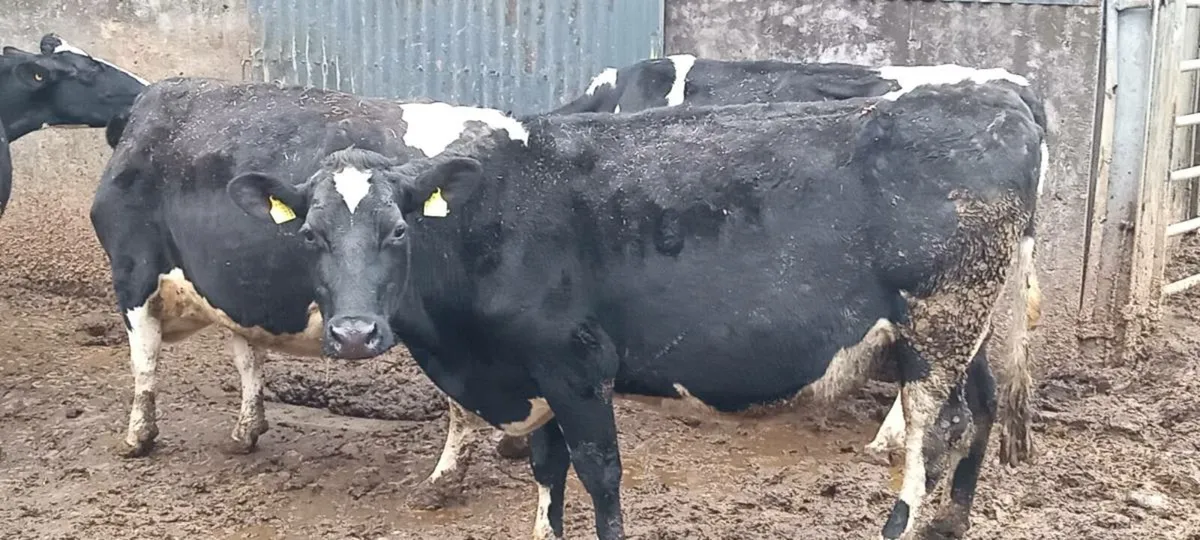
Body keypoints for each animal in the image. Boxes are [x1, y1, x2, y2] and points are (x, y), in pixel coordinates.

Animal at [90, 78, 532, 510]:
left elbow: (144, 361)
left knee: (462, 407)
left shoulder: (133, 273)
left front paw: (138, 437)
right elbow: (247, 357)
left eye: (397, 230)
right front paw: (246, 430)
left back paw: (441, 483)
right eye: (309, 233)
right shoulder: (238, 291)